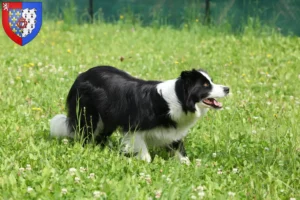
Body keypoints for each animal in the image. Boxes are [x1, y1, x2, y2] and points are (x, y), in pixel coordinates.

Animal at [51, 65, 230, 162]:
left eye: (211, 81)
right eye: (205, 85)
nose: (227, 88)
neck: (178, 98)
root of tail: (82, 74)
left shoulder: (174, 131)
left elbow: (181, 153)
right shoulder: (134, 128)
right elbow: (145, 155)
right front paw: (143, 162)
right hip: (89, 114)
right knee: (85, 133)